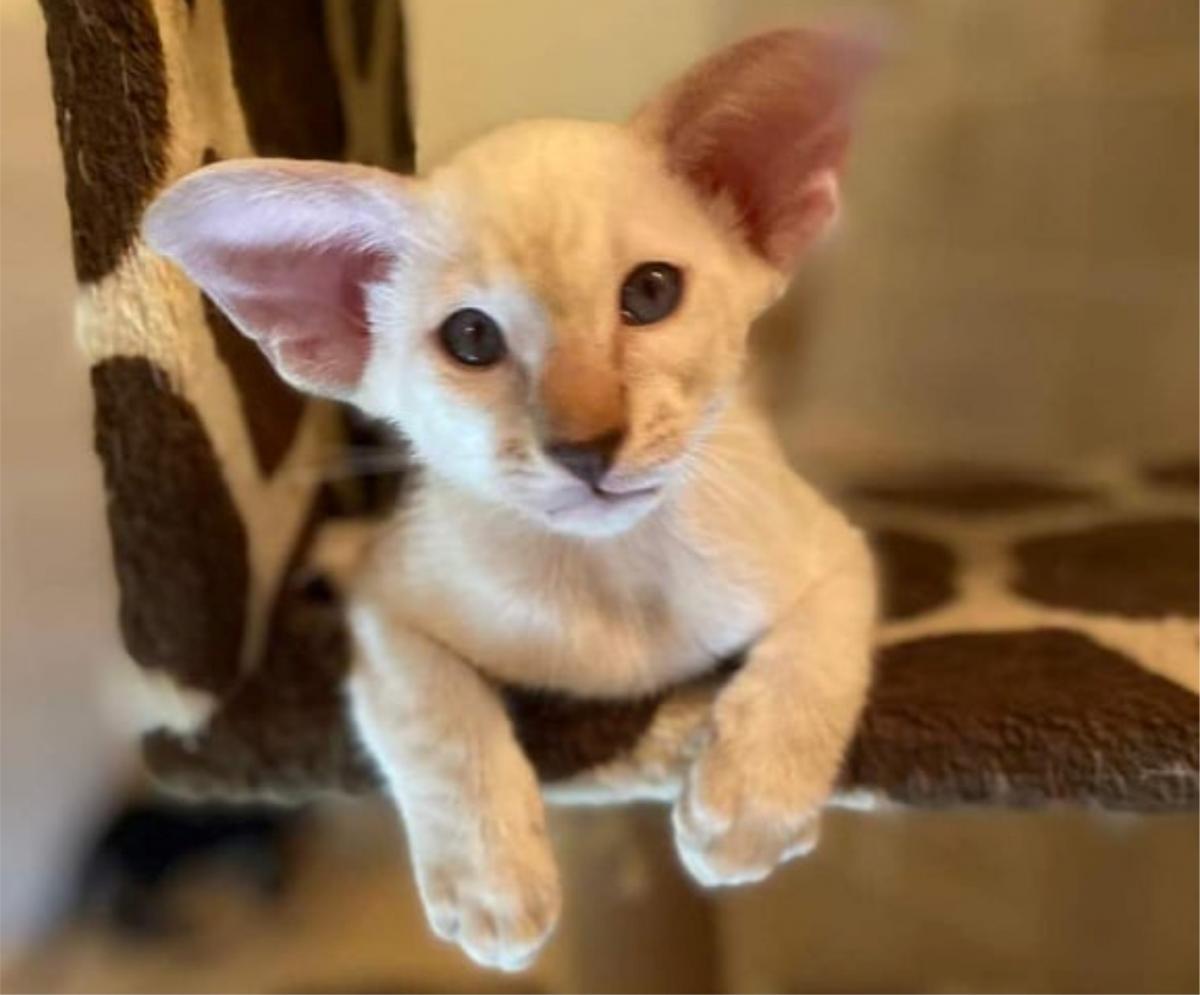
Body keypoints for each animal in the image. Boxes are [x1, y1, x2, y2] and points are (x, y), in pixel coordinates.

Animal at [144, 27, 880, 972]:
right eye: (470, 338)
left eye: (650, 292)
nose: (587, 445)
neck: (613, 586)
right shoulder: (385, 605)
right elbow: (438, 718)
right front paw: (490, 889)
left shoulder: (836, 548)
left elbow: (811, 661)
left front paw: (747, 808)